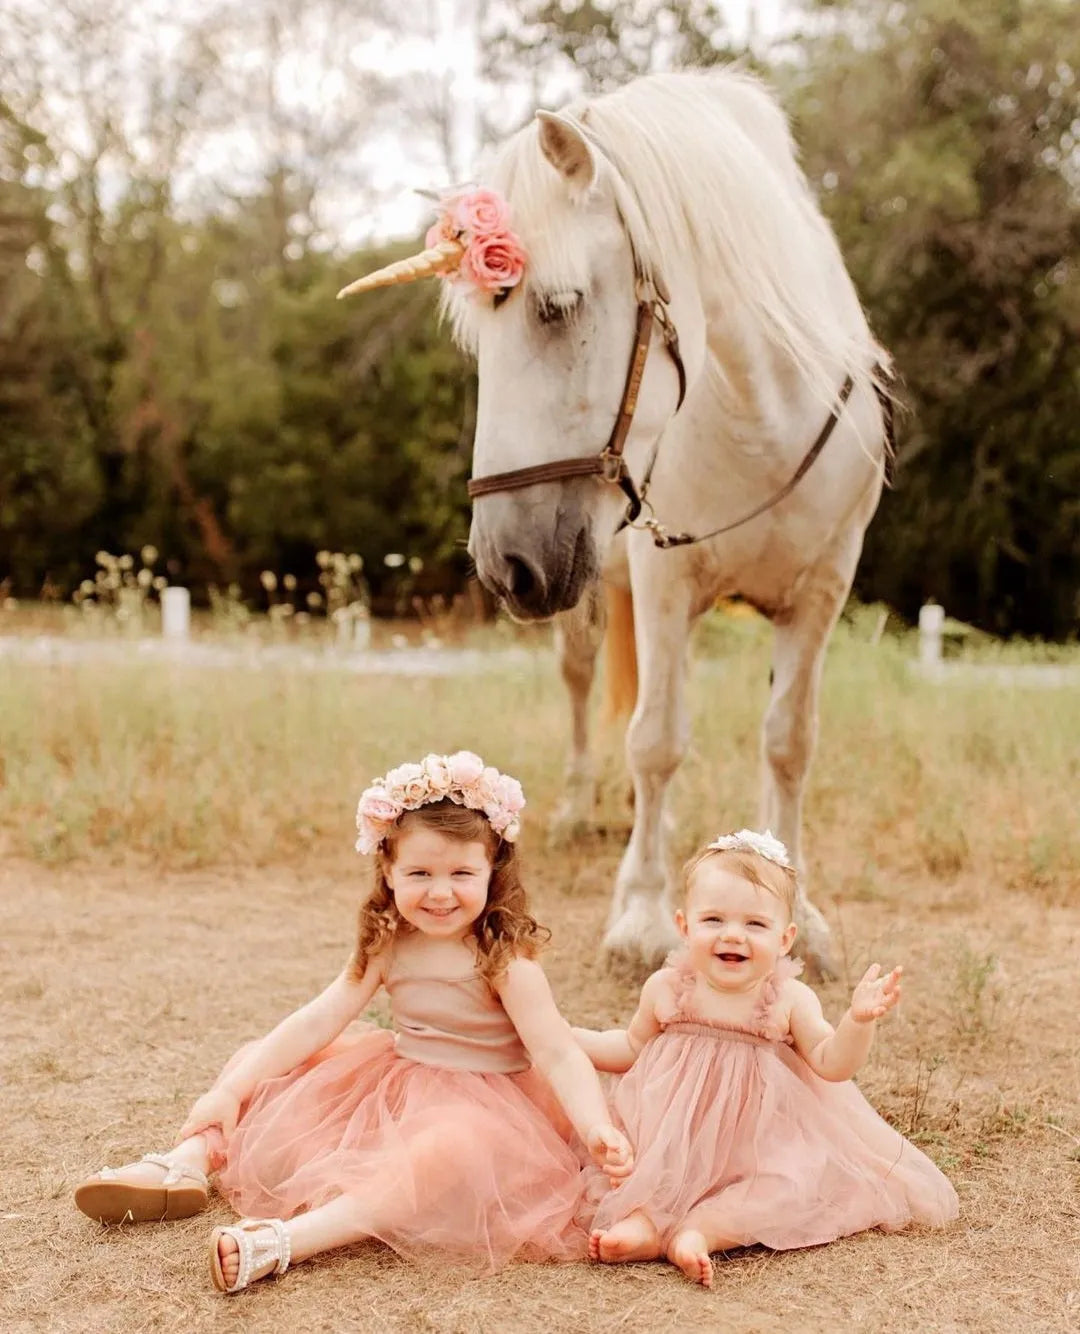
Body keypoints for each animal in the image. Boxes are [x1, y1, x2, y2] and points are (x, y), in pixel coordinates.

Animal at [341, 67, 885, 976]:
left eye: (557, 306)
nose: (505, 565)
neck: (761, 416)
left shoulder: (823, 586)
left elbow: (789, 742)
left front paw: (798, 912)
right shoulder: (666, 583)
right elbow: (656, 737)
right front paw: (641, 914)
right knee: (583, 685)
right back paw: (580, 807)